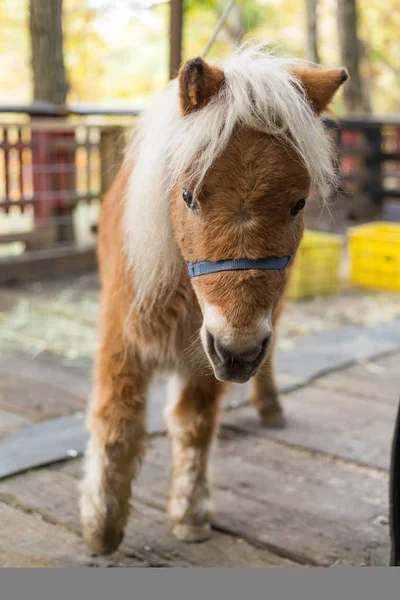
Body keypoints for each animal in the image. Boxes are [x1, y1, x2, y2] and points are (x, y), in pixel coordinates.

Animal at [79, 44, 346, 556]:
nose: (238, 352)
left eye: (299, 204)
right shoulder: (123, 334)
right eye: (188, 196)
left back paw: (270, 407)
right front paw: (101, 526)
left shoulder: (207, 354)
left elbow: (195, 423)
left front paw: (190, 513)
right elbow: (117, 420)